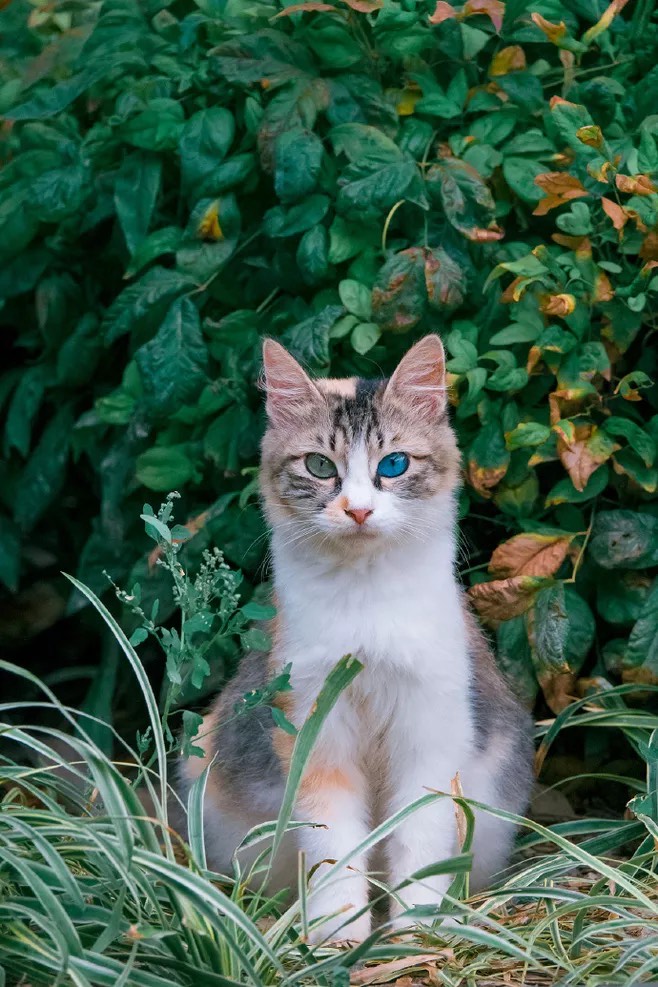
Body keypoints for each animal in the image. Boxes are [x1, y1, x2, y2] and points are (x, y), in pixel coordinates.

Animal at [179, 336, 532, 944]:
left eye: (394, 464)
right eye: (320, 466)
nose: (359, 509)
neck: (365, 609)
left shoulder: (429, 732)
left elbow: (419, 840)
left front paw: (416, 931)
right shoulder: (314, 730)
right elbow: (335, 847)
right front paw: (339, 932)